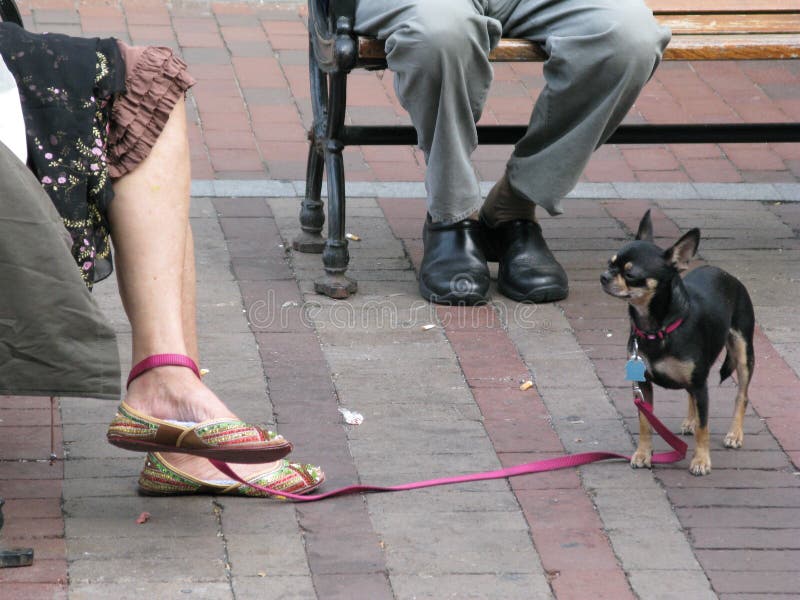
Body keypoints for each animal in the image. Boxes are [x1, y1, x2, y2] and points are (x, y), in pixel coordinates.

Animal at [600, 211, 756, 478]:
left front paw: (701, 460)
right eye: (611, 264)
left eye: (631, 274)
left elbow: (704, 428)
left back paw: (735, 434)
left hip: (743, 352)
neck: (656, 329)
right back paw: (690, 421)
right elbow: (645, 422)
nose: (604, 276)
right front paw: (643, 454)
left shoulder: (701, 385)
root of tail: (727, 275)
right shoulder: (642, 385)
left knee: (741, 396)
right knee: (690, 395)